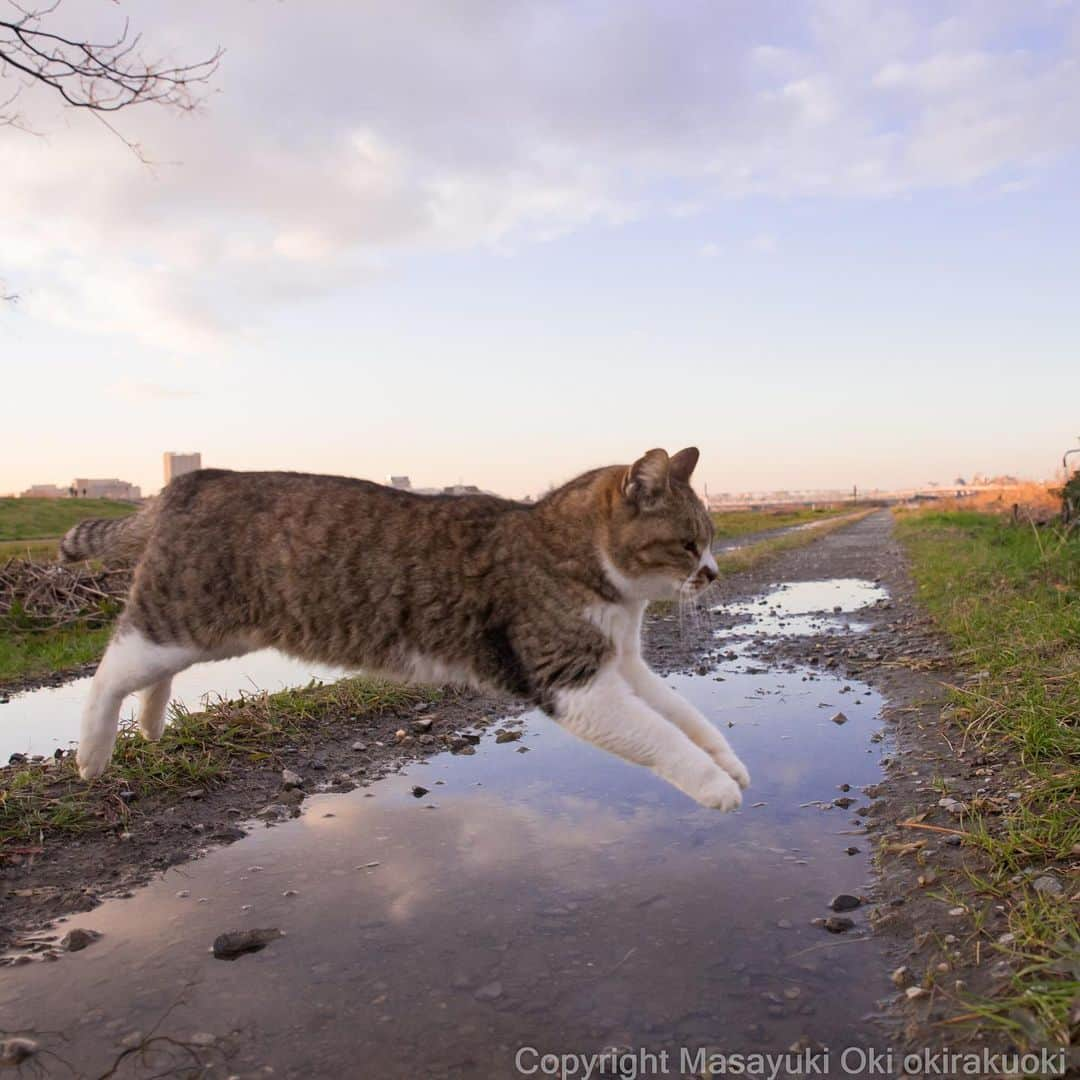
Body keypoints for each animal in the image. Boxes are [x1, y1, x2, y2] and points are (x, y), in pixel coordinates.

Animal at [63, 447, 747, 812]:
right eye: (689, 544)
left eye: (711, 539)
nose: (713, 573)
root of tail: (193, 478)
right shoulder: (576, 682)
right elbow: (660, 737)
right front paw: (714, 787)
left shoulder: (623, 665)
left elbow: (684, 716)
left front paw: (729, 763)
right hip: (182, 618)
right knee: (110, 669)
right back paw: (93, 756)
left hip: (208, 634)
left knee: (152, 674)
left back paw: (151, 725)